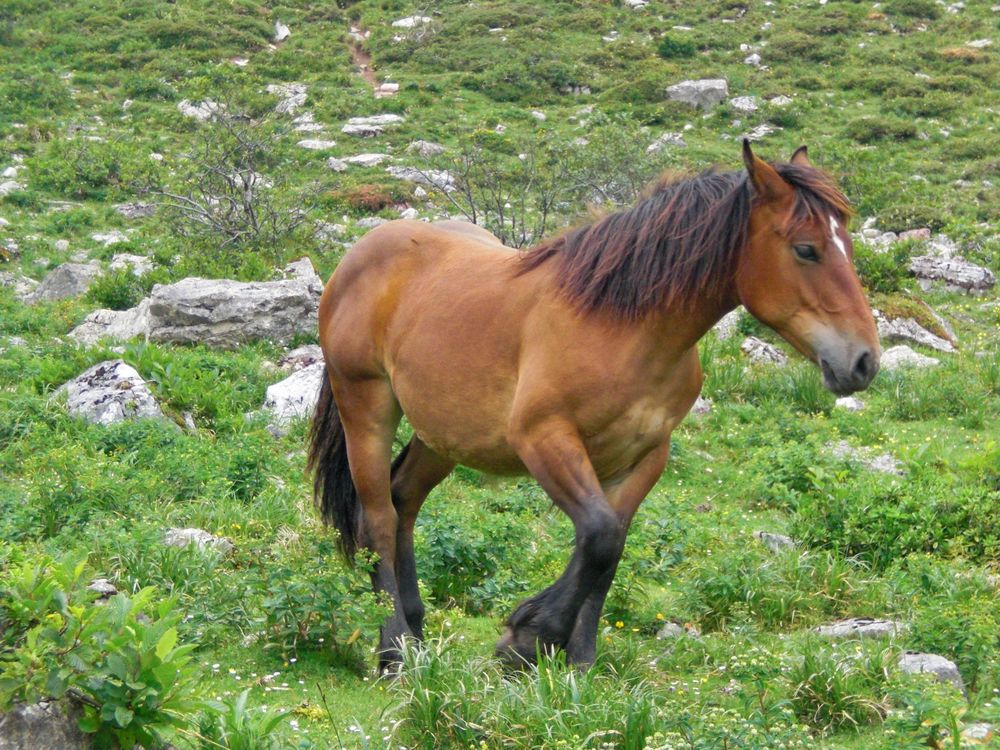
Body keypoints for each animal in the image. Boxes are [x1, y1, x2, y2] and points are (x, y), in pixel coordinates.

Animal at [308, 144, 880, 672]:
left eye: (848, 244)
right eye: (806, 250)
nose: (864, 361)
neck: (621, 326)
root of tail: (360, 255)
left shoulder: (644, 455)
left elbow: (610, 546)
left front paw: (577, 658)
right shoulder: (544, 439)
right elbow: (601, 536)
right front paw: (528, 639)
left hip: (441, 434)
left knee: (404, 501)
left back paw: (416, 632)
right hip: (367, 406)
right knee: (378, 518)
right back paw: (395, 650)